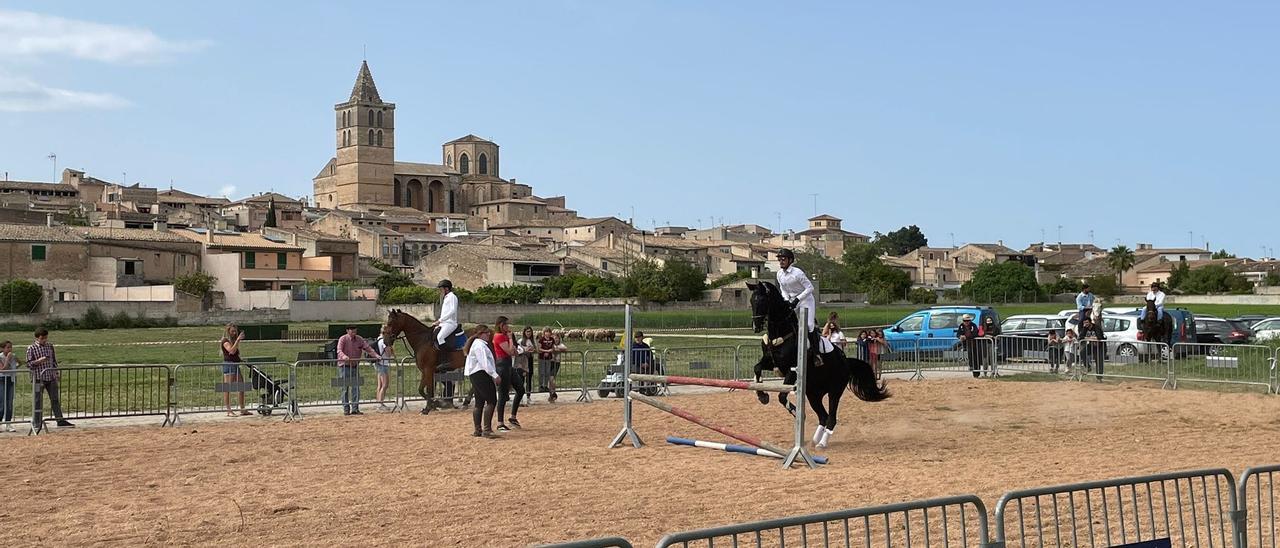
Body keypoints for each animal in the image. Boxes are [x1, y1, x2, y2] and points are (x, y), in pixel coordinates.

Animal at [747, 280, 885, 448]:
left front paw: (795, 411)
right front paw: (762, 395)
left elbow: (781, 396)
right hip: (813, 393)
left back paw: (822, 443)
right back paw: (814, 440)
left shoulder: (792, 371)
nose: (756, 327)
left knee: (831, 417)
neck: (780, 333)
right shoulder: (772, 363)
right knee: (823, 416)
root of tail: (846, 361)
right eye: (751, 301)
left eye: (761, 300)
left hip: (834, 392)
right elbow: (757, 368)